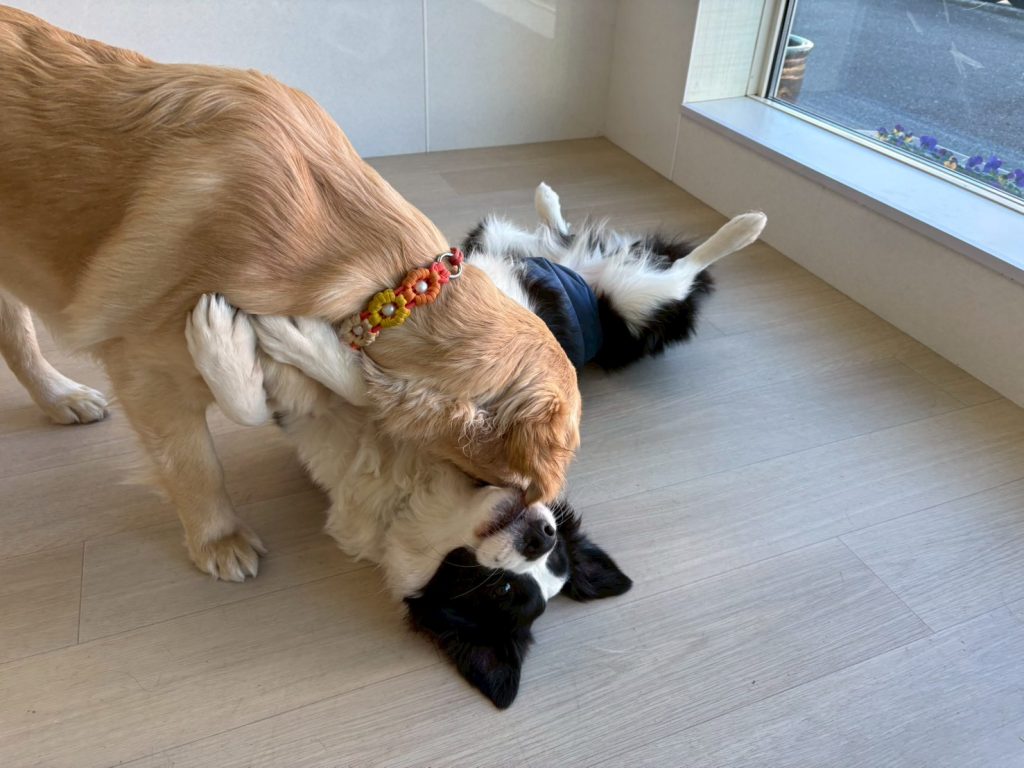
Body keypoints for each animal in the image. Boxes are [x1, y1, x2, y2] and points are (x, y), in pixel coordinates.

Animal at [0, 6, 581, 582]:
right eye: (508, 482)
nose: (543, 527)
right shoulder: (147, 370)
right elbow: (195, 461)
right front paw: (218, 537)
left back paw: (61, 398)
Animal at [186, 294, 631, 709]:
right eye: (556, 556)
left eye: (501, 588)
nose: (543, 537)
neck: (414, 494)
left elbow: (277, 407)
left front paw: (239, 338)